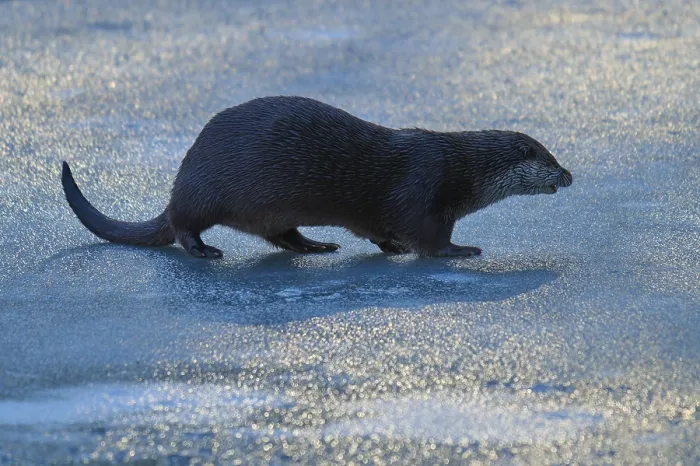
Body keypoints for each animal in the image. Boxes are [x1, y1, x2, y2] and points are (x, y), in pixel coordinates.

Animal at [61, 96, 572, 258]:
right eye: (549, 157)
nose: (569, 174)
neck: (461, 169)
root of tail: (182, 175)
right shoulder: (424, 189)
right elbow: (428, 237)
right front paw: (461, 250)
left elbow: (381, 230)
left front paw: (391, 247)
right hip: (206, 192)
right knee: (183, 224)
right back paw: (205, 250)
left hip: (267, 210)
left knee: (281, 235)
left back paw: (317, 245)